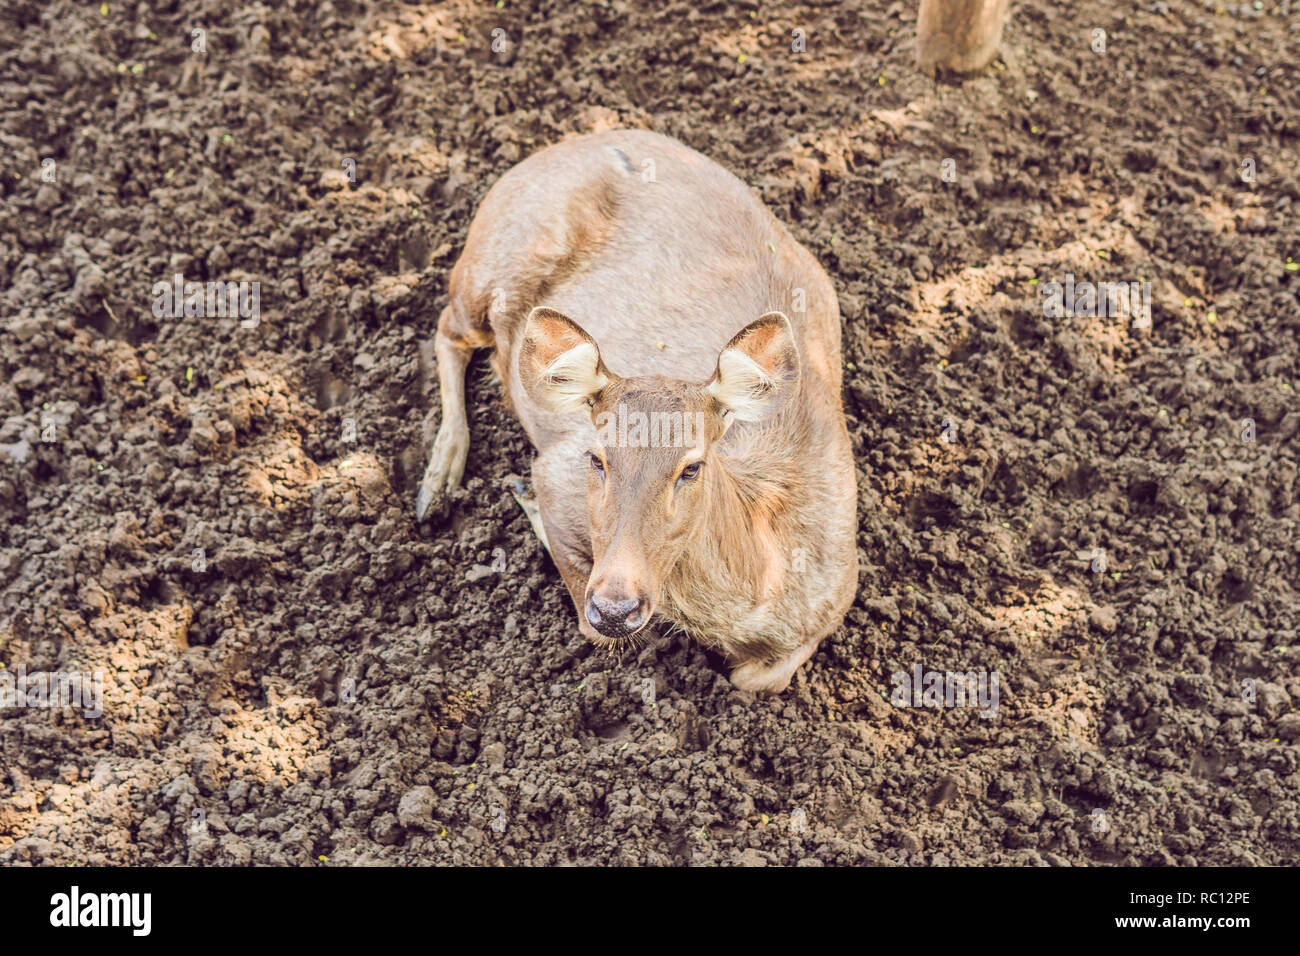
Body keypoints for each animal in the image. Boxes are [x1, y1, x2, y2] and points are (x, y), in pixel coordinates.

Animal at [416, 128, 857, 697]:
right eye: (596, 458)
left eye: (692, 466)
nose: (615, 606)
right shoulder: (555, 471)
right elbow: (599, 628)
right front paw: (519, 494)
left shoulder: (837, 593)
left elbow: (756, 678)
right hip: (490, 266)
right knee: (448, 327)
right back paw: (437, 482)